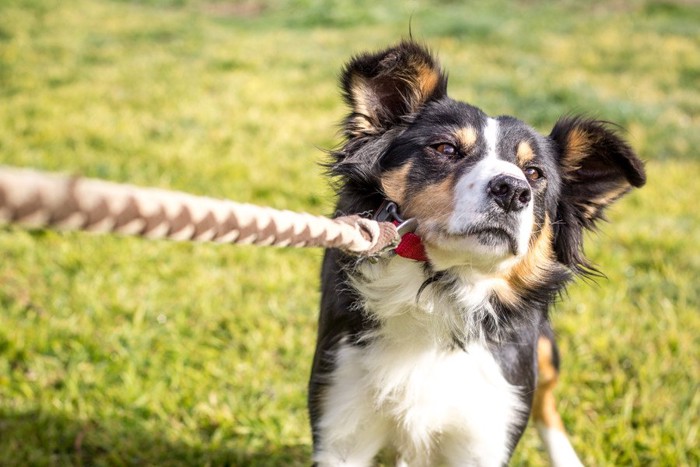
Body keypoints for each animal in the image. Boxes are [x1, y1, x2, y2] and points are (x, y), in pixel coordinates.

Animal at [308, 41, 648, 467]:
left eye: (535, 173)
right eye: (446, 148)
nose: (513, 191)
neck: (440, 294)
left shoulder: (487, 426)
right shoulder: (341, 420)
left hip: (543, 350)